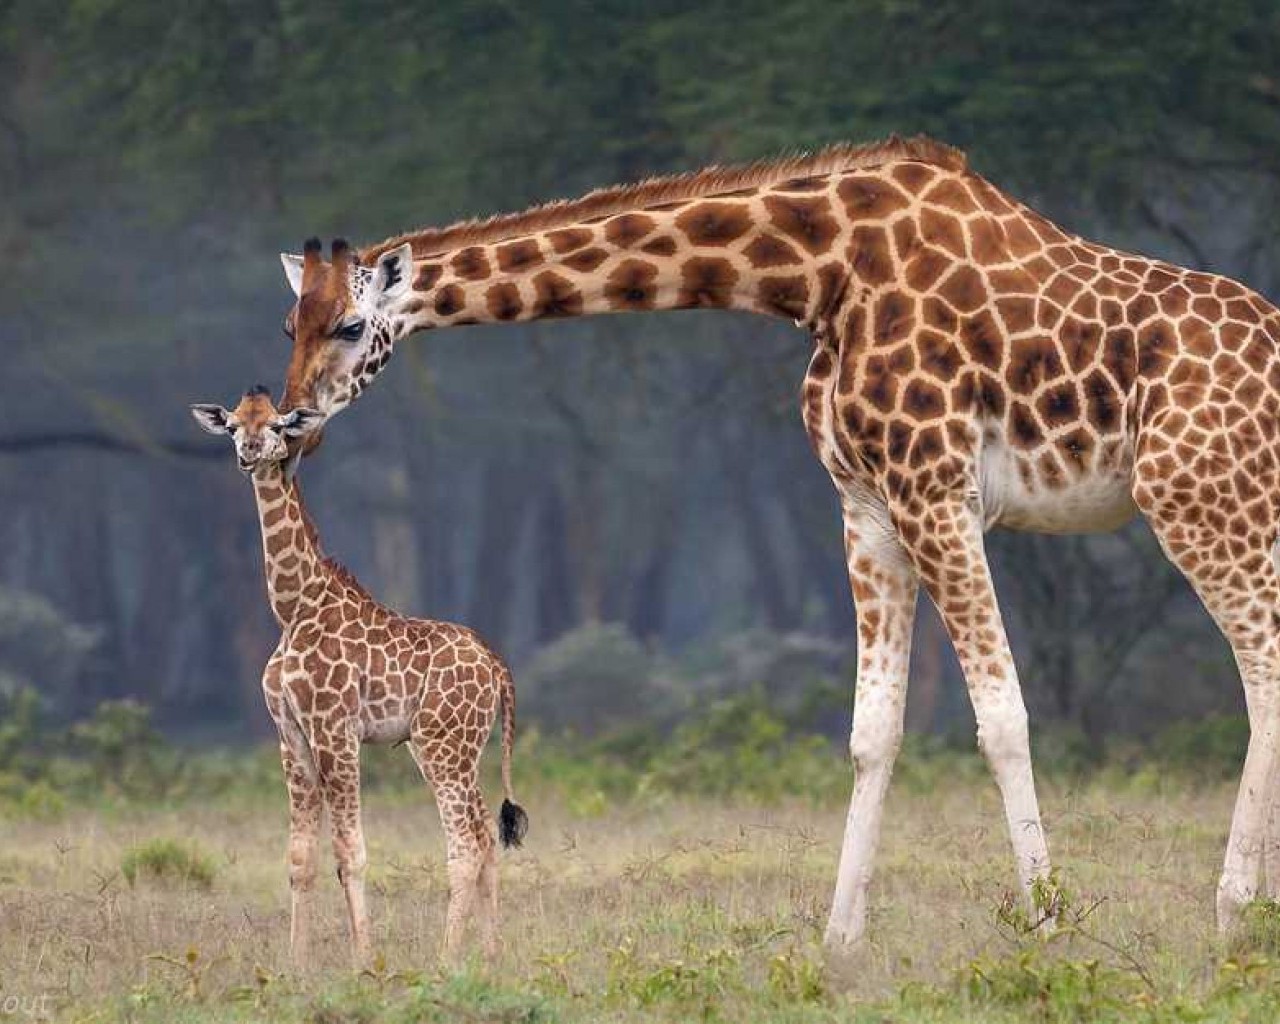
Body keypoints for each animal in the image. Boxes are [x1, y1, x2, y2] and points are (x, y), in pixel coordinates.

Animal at [190, 387, 529, 965]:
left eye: (277, 426)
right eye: (233, 426)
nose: (249, 453)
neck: (293, 607)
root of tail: (496, 666)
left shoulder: (335, 730)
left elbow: (351, 851)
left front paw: (363, 961)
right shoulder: (291, 735)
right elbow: (299, 857)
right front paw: (296, 964)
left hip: (442, 746)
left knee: (464, 841)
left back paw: (445, 961)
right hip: (458, 747)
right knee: (485, 834)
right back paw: (491, 955)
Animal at [271, 135, 1280, 948]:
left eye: (352, 325)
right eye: (290, 324)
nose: (292, 419)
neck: (820, 271)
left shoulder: (936, 487)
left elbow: (1001, 719)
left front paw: (1048, 926)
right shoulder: (867, 506)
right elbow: (873, 733)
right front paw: (839, 947)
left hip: (1195, 498)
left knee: (1262, 671)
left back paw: (1231, 913)